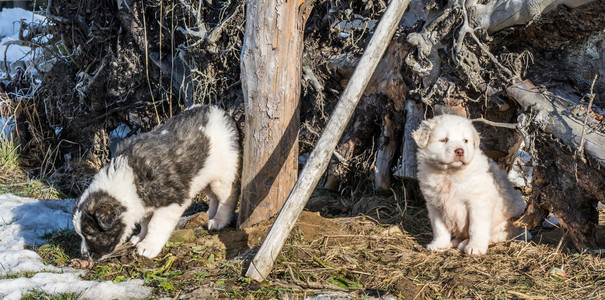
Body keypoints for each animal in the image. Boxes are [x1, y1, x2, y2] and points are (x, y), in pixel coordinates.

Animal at [412, 113, 528, 254]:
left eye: (465, 141)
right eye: (444, 140)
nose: (460, 151)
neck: (450, 174)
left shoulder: (478, 202)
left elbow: (476, 227)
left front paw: (475, 247)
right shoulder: (435, 205)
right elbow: (439, 228)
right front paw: (439, 244)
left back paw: (464, 244)